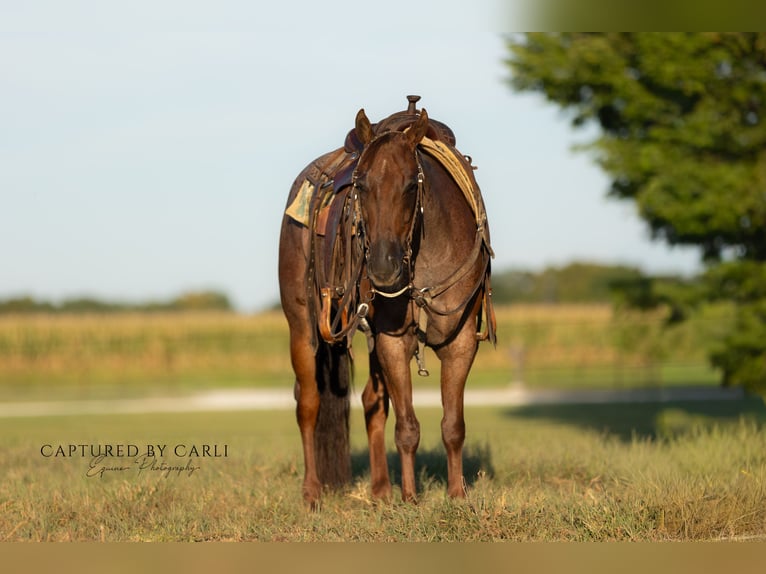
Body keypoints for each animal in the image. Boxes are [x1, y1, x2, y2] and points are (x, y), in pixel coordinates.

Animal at [278, 96, 495, 507]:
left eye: (412, 185)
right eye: (361, 185)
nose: (382, 266)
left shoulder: (459, 343)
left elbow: (453, 424)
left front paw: (457, 495)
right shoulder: (394, 343)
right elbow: (407, 427)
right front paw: (410, 498)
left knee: (371, 401)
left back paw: (380, 490)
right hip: (303, 326)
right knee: (308, 403)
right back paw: (312, 493)